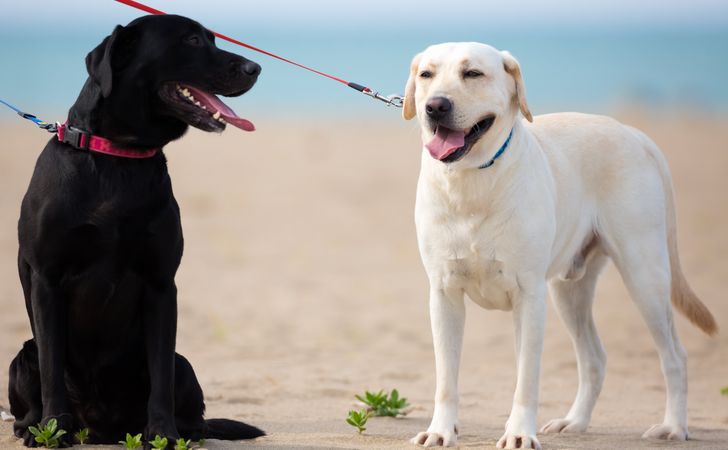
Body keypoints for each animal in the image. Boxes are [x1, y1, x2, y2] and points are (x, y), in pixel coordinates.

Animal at [7, 14, 264, 446]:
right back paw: (37, 428)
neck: (119, 156)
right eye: (192, 40)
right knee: (30, 389)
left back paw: (183, 431)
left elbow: (159, 377)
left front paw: (162, 434)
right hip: (20, 358)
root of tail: (102, 428)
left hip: (184, 365)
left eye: (212, 38)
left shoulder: (161, 283)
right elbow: (52, 367)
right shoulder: (47, 279)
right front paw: (56, 429)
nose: (255, 67)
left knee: (185, 397)